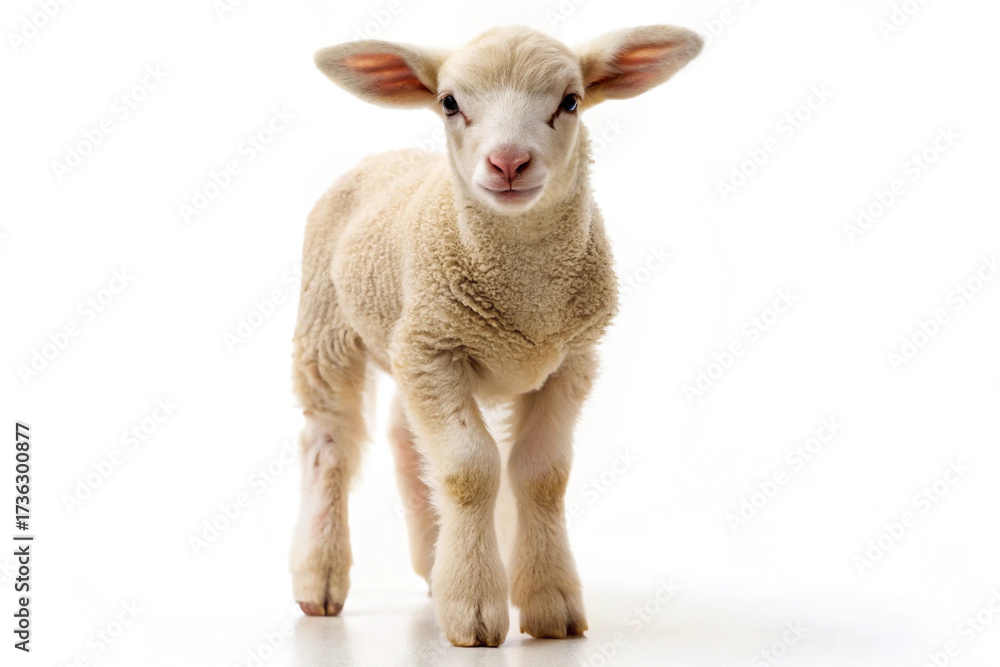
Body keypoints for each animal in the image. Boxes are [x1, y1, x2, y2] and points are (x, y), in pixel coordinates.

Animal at [289, 24, 703, 647]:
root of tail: (383, 156)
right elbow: (469, 469)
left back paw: (432, 559)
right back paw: (320, 578)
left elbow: (541, 474)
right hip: (328, 327)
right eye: (449, 103)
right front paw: (474, 608)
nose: (508, 162)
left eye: (571, 101)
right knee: (328, 441)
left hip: (406, 339)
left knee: (403, 434)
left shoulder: (570, 360)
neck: (525, 290)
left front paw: (551, 604)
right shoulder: (437, 350)